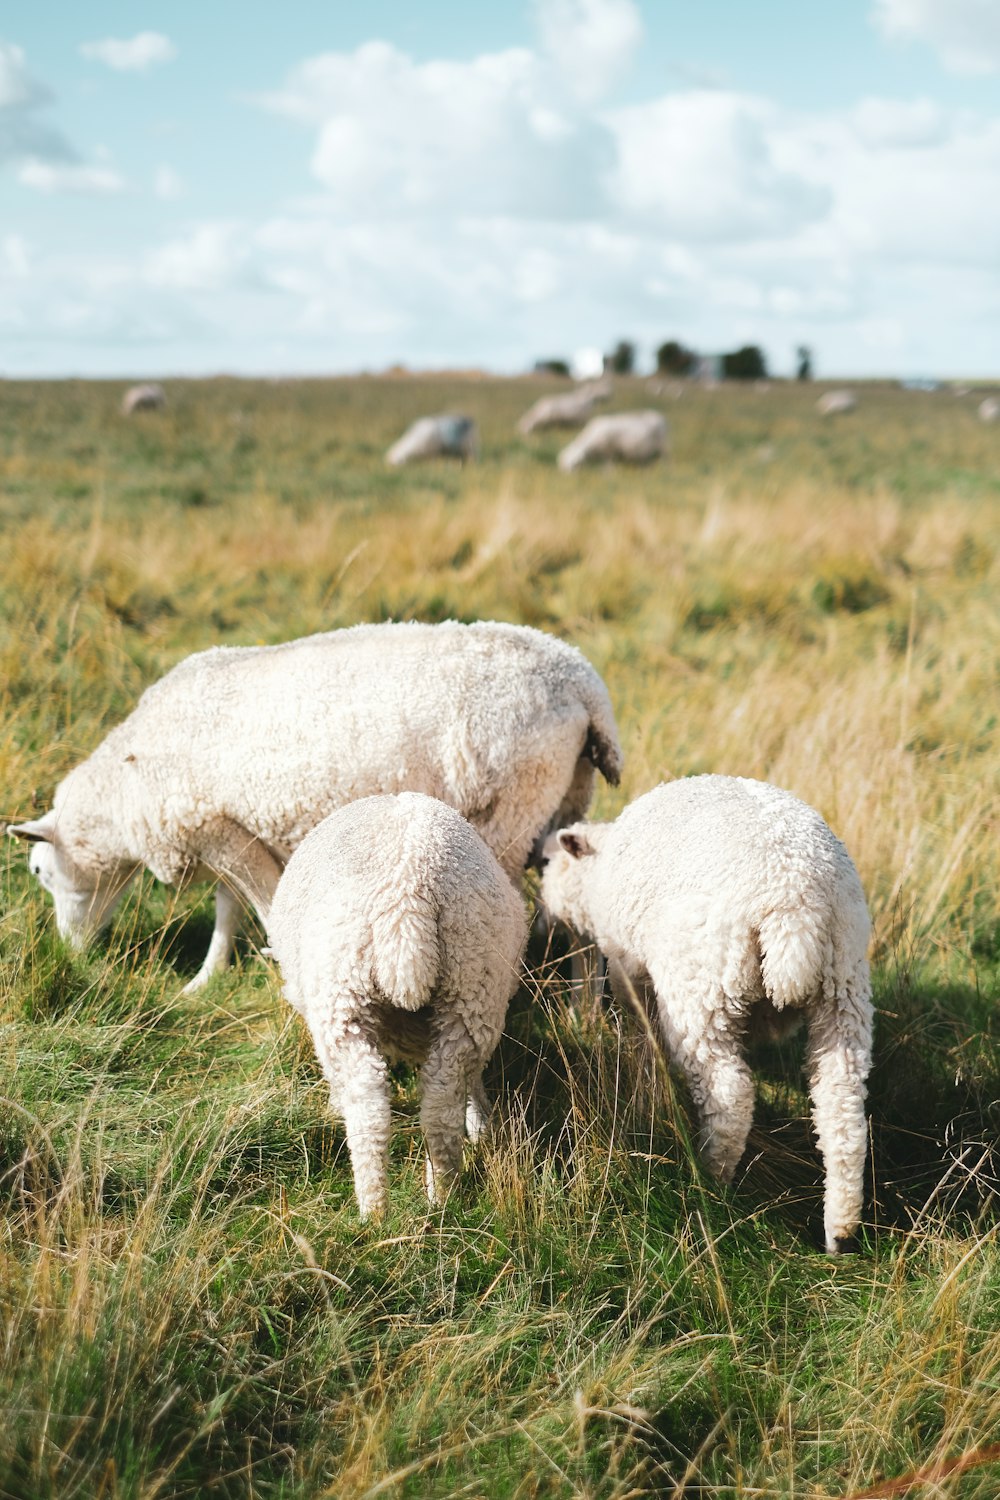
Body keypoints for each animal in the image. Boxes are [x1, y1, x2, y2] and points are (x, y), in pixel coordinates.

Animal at [9, 621, 626, 996]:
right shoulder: (228, 826)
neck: (123, 788)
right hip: (568, 794)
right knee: (576, 909)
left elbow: (261, 906)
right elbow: (227, 911)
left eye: (39, 872)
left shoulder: (217, 829)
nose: (71, 955)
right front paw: (205, 979)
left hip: (510, 808)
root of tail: (580, 679)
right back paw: (584, 1010)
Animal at [265, 798, 530, 1218]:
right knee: (441, 1104)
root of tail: (406, 896)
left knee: (368, 1107)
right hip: (472, 989)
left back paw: (373, 1210)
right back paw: (443, 1195)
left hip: (343, 1000)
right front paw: (482, 1124)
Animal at [539, 774, 875, 1254]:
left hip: (701, 988)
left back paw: (709, 1181)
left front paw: (643, 1094)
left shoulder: (628, 970)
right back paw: (839, 1230)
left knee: (730, 1094)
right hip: (842, 988)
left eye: (549, 862)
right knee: (841, 1108)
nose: (544, 917)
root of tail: (795, 904)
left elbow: (642, 1037)